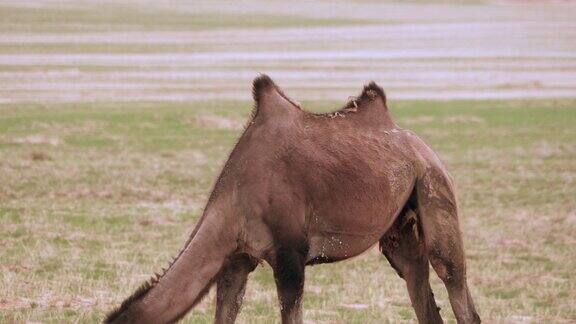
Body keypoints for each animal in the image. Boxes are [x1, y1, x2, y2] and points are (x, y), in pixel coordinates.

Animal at [104, 74, 482, 322]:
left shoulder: (290, 256)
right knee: (417, 280)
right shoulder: (236, 259)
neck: (235, 195)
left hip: (433, 185)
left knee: (452, 276)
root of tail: (419, 144)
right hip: (400, 228)